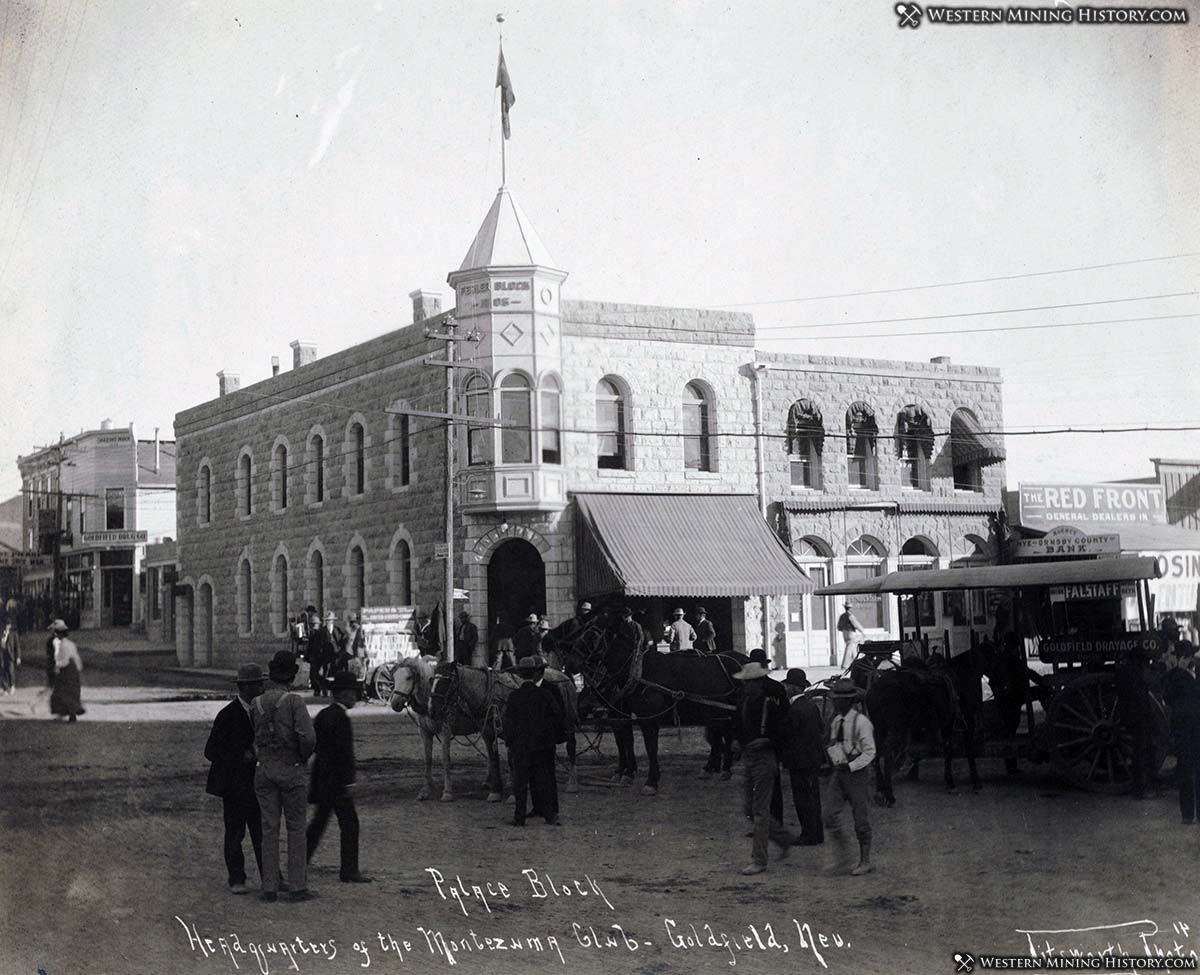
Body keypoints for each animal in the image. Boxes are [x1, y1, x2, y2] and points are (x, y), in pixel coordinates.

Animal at [549, 612, 744, 797]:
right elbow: (626, 741)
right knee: (723, 735)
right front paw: (627, 773)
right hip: (718, 714)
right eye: (581, 633)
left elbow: (648, 747)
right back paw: (720, 768)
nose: (570, 662)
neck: (638, 672)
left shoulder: (645, 718)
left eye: (592, 636)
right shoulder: (623, 714)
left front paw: (649, 781)